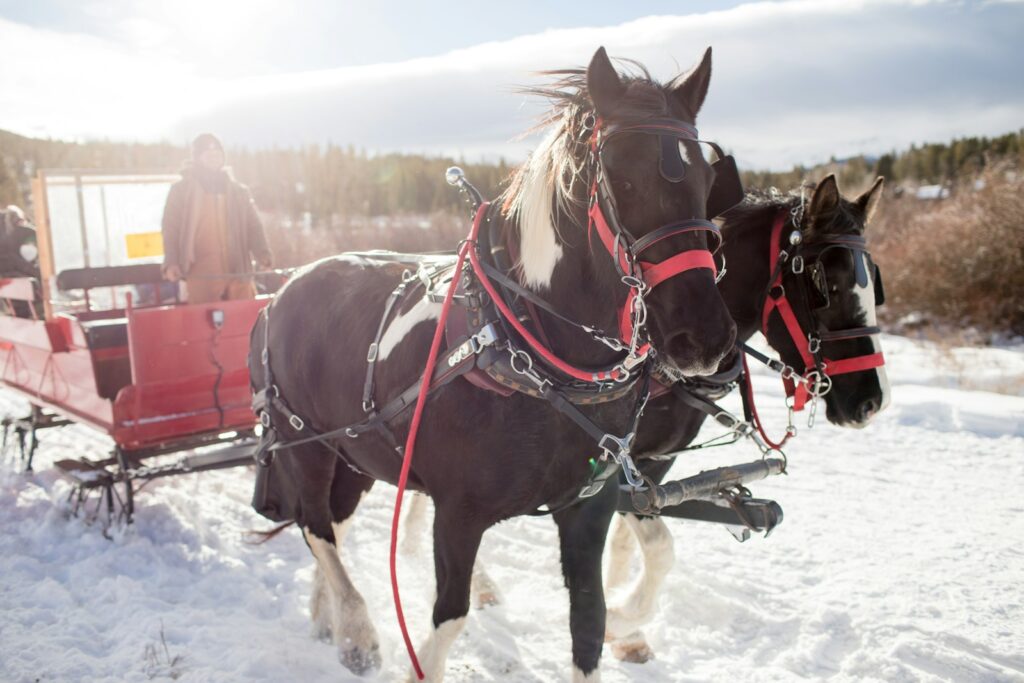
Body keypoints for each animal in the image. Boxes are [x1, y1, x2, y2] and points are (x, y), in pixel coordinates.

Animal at [249, 47, 738, 681]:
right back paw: (357, 629)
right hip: (302, 443)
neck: (536, 355)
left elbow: (590, 623)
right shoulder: (458, 514)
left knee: (333, 521)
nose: (703, 337)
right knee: (316, 527)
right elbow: (448, 619)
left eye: (708, 180)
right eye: (622, 177)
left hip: (354, 453)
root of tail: (282, 289)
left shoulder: (590, 509)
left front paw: (618, 628)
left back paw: (325, 613)